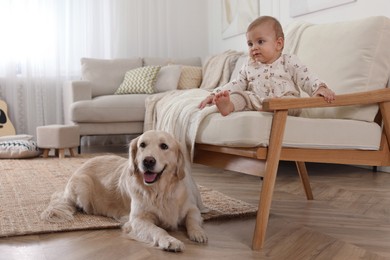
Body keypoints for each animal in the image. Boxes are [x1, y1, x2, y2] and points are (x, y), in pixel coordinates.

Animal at [40, 130, 207, 252]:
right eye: (142, 145)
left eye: (164, 146)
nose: (147, 161)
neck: (160, 191)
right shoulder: (137, 220)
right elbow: (158, 230)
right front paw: (170, 240)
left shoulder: (191, 208)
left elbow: (192, 219)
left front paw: (198, 233)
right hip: (83, 186)